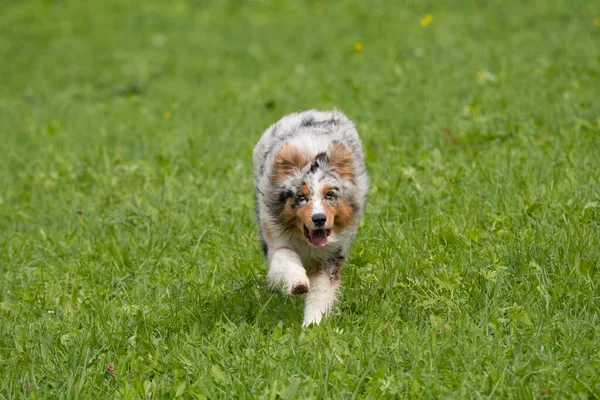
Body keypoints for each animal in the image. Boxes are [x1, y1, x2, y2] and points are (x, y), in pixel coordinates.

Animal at [252, 108, 368, 324]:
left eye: (329, 195)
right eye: (301, 197)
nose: (319, 219)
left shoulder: (331, 257)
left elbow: (320, 294)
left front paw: (312, 325)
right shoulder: (277, 242)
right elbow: (287, 261)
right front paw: (298, 283)